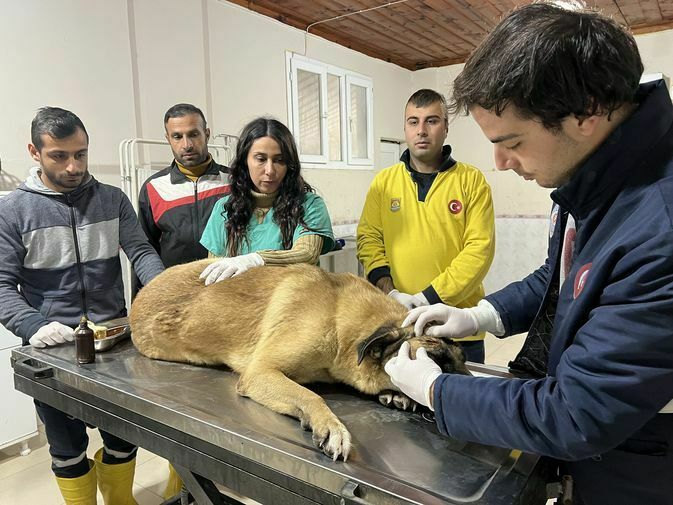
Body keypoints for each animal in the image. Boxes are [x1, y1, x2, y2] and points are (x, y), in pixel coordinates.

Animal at [131, 260, 468, 460]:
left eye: (463, 358)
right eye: (437, 361)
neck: (338, 315)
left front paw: (397, 394)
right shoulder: (260, 372)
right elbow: (311, 395)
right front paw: (330, 425)